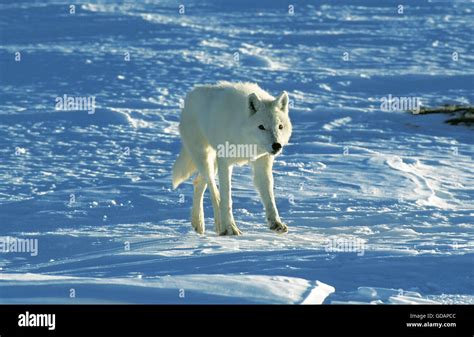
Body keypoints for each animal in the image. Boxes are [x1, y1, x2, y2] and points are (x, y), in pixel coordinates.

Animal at [172, 81, 290, 235]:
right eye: (261, 127)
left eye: (280, 126)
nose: (276, 145)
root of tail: (189, 97)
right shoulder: (225, 162)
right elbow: (226, 198)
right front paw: (231, 228)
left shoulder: (262, 162)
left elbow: (269, 196)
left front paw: (276, 224)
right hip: (206, 159)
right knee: (214, 192)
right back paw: (221, 226)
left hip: (213, 163)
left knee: (198, 183)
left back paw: (199, 225)